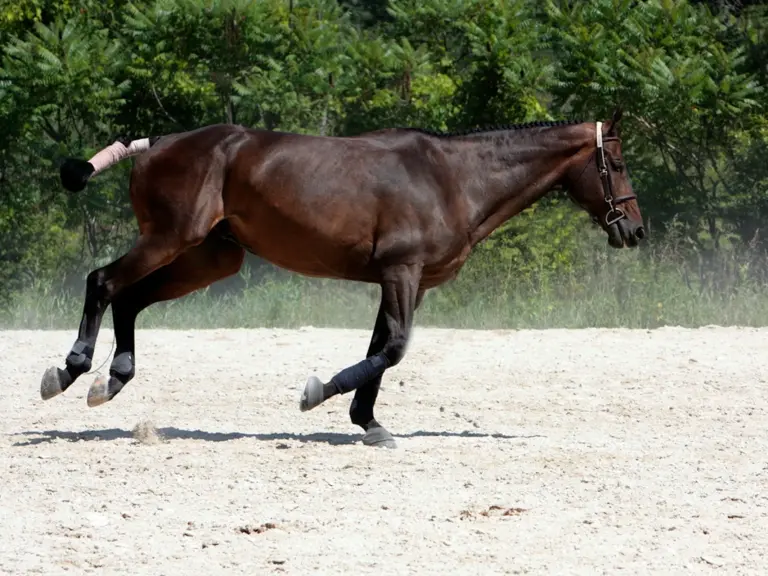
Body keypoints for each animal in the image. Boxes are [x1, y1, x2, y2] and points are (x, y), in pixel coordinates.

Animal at [41, 108, 644, 448]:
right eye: (614, 164)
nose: (635, 230)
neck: (453, 177)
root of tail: (160, 143)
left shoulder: (406, 282)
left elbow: (380, 348)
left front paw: (367, 422)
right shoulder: (402, 272)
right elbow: (393, 349)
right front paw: (318, 393)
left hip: (209, 258)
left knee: (130, 298)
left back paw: (112, 378)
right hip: (171, 239)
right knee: (103, 283)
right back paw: (71, 370)